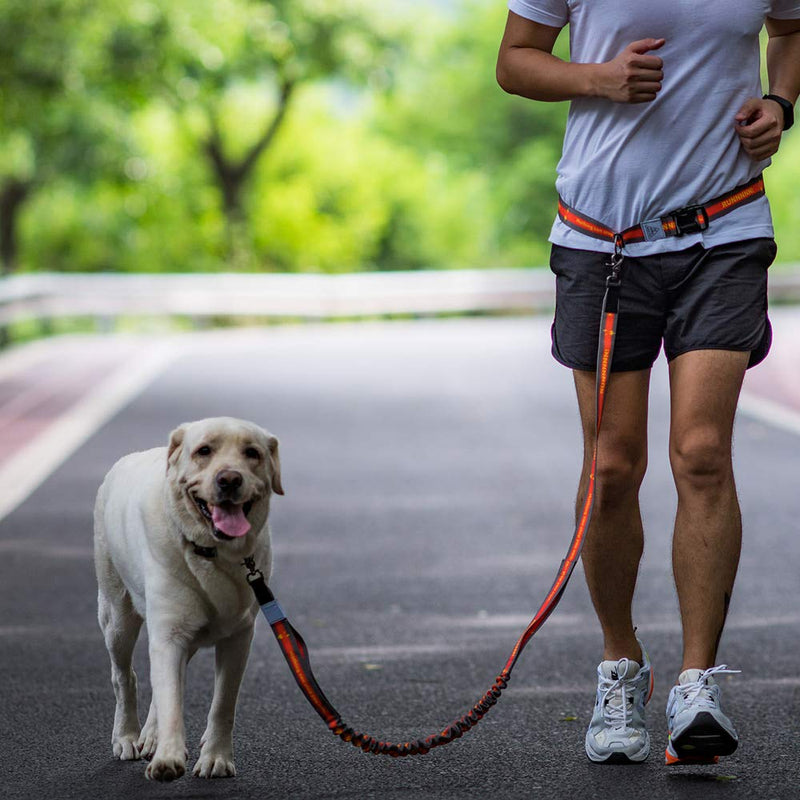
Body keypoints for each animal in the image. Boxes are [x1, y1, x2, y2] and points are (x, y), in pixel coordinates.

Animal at [94, 418, 282, 780]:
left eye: (251, 453)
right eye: (203, 451)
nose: (229, 479)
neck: (213, 552)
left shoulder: (239, 637)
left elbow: (223, 703)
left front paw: (216, 757)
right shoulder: (169, 632)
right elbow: (170, 699)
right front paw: (167, 757)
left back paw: (150, 735)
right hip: (117, 617)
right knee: (124, 676)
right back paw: (127, 736)